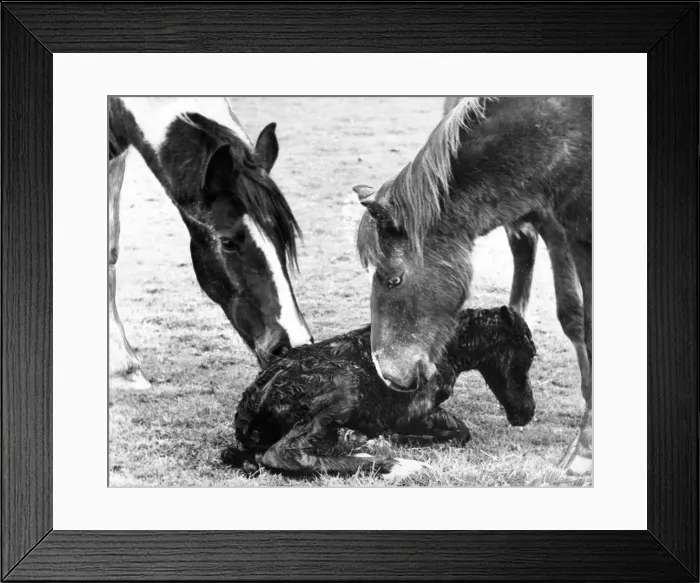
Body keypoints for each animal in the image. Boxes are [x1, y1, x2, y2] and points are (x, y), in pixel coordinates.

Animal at [222, 306, 536, 480]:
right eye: (529, 353)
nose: (527, 412)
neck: (452, 347)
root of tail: (246, 417)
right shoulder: (413, 411)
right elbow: (461, 430)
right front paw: (394, 441)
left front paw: (374, 437)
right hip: (346, 384)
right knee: (284, 454)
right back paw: (399, 465)